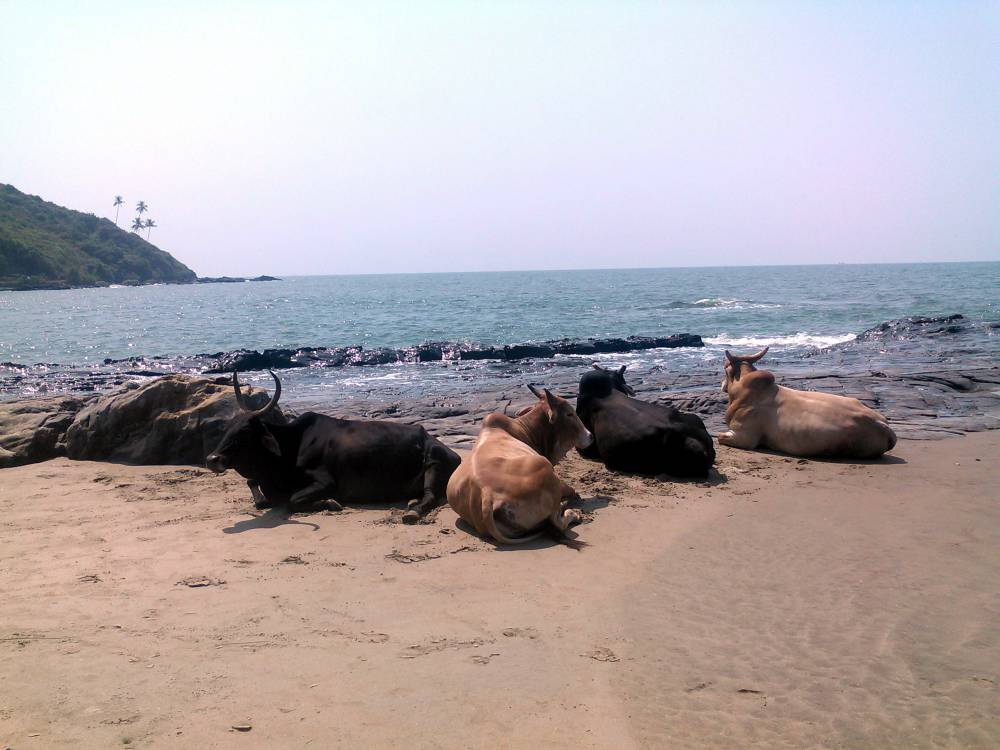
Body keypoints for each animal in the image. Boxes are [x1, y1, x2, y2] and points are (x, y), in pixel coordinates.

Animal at [205, 371, 461, 522]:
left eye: (245, 432)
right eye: (227, 427)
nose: (211, 459)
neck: (290, 446)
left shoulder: (325, 481)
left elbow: (293, 501)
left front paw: (330, 503)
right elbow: (257, 492)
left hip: (434, 462)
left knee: (430, 495)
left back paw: (412, 510)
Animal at [446, 385, 593, 547]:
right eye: (569, 413)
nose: (591, 436)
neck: (525, 429)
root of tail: (487, 493)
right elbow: (572, 491)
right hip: (545, 469)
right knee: (557, 522)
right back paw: (572, 512)